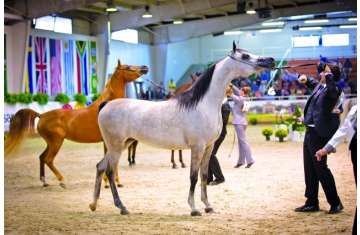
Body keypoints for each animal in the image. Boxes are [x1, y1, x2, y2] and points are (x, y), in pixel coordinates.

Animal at [4, 60, 148, 187]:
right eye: (128, 67)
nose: (144, 67)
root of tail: (42, 115)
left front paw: (115, 182)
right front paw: (109, 183)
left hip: (50, 143)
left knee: (41, 157)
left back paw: (45, 182)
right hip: (56, 142)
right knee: (48, 160)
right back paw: (62, 181)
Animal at [88, 42, 274, 217]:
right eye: (245, 55)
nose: (270, 60)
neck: (203, 104)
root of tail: (105, 105)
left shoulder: (208, 147)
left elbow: (204, 176)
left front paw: (208, 206)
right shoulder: (197, 147)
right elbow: (193, 177)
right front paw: (194, 209)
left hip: (121, 145)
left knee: (100, 166)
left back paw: (94, 204)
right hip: (116, 146)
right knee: (110, 171)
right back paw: (122, 207)